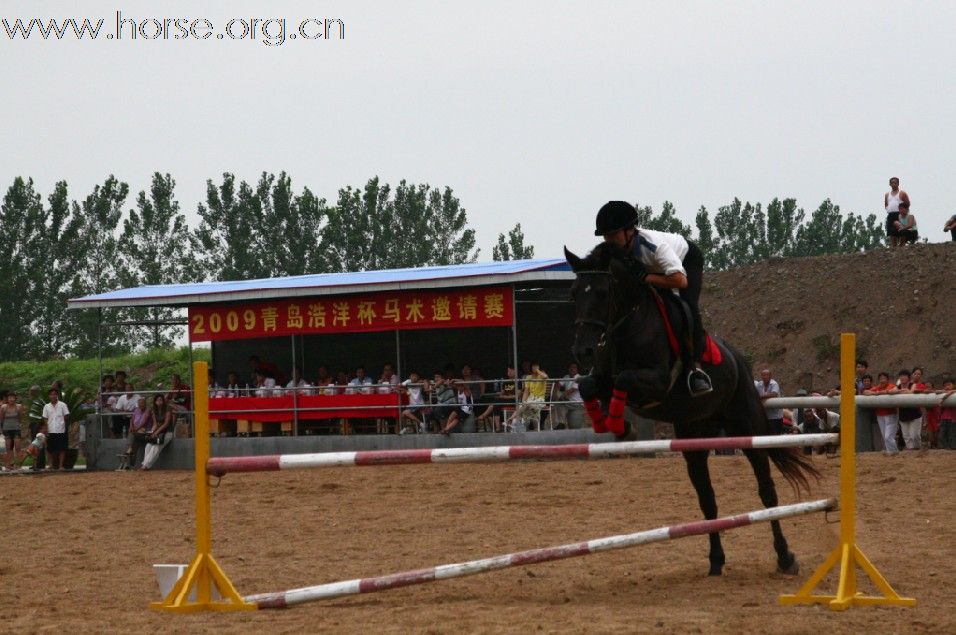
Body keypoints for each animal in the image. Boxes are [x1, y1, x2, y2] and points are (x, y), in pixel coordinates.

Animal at [564, 242, 816, 576]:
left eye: (605, 292)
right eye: (574, 293)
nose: (583, 351)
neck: (627, 323)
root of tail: (739, 361)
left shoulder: (658, 381)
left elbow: (624, 378)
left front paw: (621, 425)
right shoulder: (602, 377)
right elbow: (588, 386)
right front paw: (613, 425)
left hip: (745, 429)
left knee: (767, 491)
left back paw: (785, 557)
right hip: (693, 438)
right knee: (708, 500)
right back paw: (716, 561)